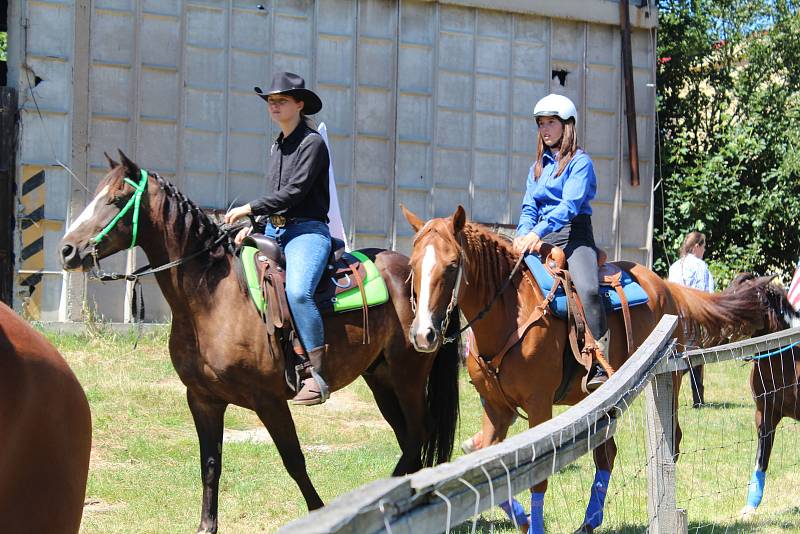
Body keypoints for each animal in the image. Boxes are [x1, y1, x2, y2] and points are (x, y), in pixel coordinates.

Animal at [59, 153, 460, 532]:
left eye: (117, 198)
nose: (67, 250)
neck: (214, 296)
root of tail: (414, 270)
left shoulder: (268, 400)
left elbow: (294, 460)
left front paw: (320, 513)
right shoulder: (202, 399)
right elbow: (210, 464)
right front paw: (206, 526)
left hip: (409, 375)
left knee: (418, 433)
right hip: (380, 378)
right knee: (408, 437)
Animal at [404, 206, 772, 534]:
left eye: (452, 266)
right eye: (412, 266)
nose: (423, 334)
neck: (511, 312)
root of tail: (667, 288)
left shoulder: (539, 406)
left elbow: (538, 478)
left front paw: (533, 525)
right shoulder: (496, 408)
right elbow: (486, 463)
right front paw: (523, 520)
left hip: (666, 381)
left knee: (671, 441)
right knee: (606, 454)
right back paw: (589, 521)